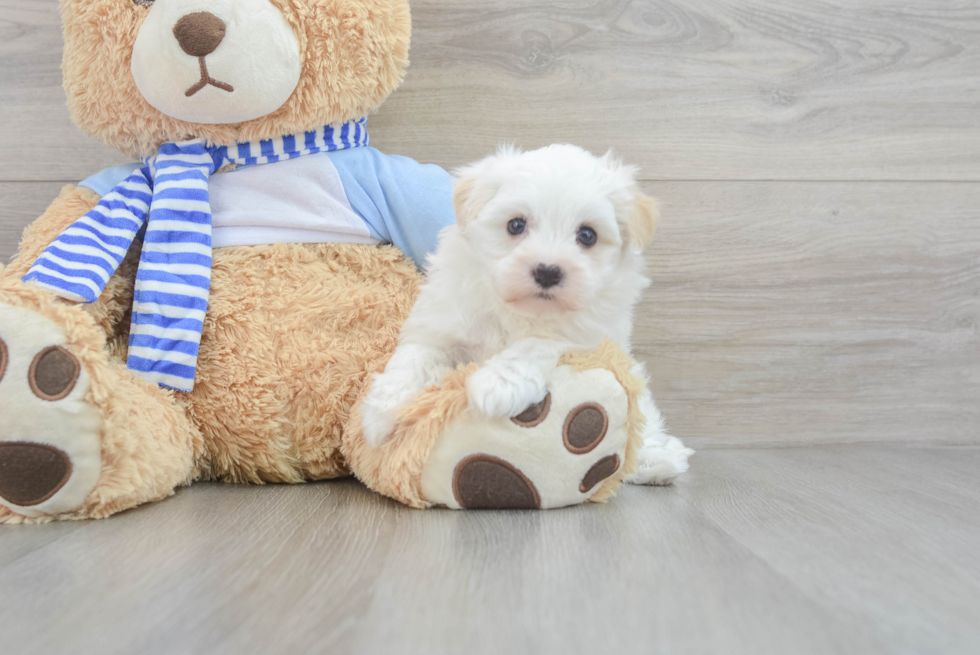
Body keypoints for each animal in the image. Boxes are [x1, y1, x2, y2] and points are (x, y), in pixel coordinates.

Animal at [358, 146, 688, 484]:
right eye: (516, 225)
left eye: (587, 235)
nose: (547, 271)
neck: (519, 309)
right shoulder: (442, 323)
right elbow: (414, 358)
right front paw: (380, 415)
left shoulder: (590, 335)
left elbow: (538, 343)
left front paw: (496, 386)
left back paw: (656, 460)